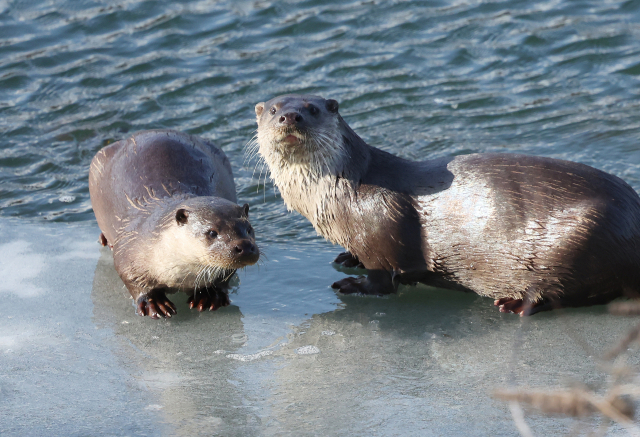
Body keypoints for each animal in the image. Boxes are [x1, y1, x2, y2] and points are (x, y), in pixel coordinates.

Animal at [90, 129, 260, 316]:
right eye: (212, 232)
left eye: (249, 229)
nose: (245, 246)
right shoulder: (129, 247)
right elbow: (132, 280)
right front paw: (154, 303)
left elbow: (225, 276)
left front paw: (210, 295)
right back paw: (104, 239)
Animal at [252, 94, 640, 314]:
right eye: (272, 109)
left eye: (312, 109)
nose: (290, 117)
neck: (343, 190)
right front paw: (348, 258)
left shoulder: (382, 222)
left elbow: (384, 279)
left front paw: (353, 286)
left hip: (581, 237)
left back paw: (515, 303)